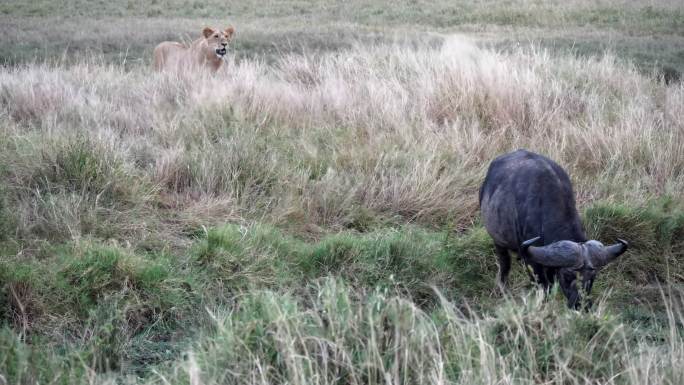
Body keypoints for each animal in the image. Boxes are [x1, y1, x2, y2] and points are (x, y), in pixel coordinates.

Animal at [478, 148, 628, 308]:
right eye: (567, 276)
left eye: (592, 277)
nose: (581, 305)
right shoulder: (532, 263)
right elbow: (544, 287)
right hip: (498, 242)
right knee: (504, 264)